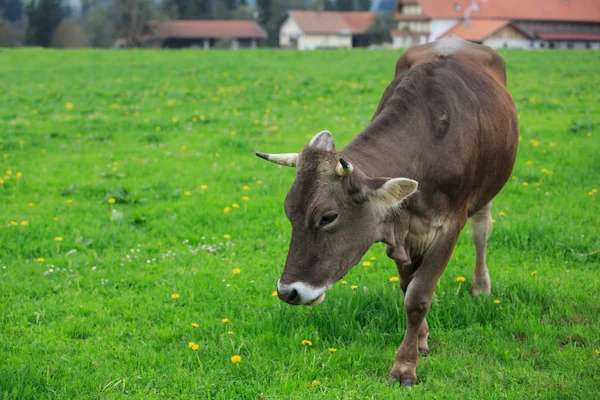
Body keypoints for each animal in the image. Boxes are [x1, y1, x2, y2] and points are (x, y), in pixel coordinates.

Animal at [255, 36, 516, 384]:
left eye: (328, 217)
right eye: (289, 213)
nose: (288, 292)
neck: (428, 145)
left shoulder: (450, 225)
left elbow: (418, 297)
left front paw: (405, 366)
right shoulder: (397, 224)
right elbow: (408, 287)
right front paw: (421, 340)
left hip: (488, 189)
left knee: (482, 232)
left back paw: (481, 287)